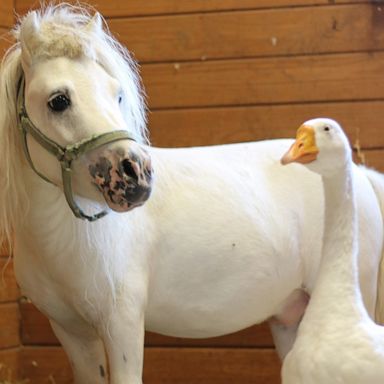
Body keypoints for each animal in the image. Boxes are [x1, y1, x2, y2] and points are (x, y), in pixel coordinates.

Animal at [2, 4, 384, 382]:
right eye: (58, 101)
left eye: (117, 93)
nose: (136, 174)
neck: (66, 240)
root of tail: (359, 175)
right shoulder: (72, 333)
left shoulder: (122, 326)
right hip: (290, 319)